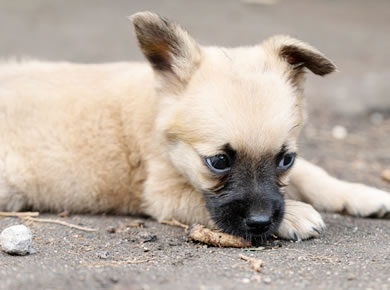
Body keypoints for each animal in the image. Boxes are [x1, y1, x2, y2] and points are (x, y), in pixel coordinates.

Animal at [0, 11, 390, 242]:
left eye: (285, 160)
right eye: (218, 162)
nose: (262, 221)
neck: (156, 115)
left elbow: (314, 173)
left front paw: (359, 193)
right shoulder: (165, 195)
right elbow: (197, 199)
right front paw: (295, 213)